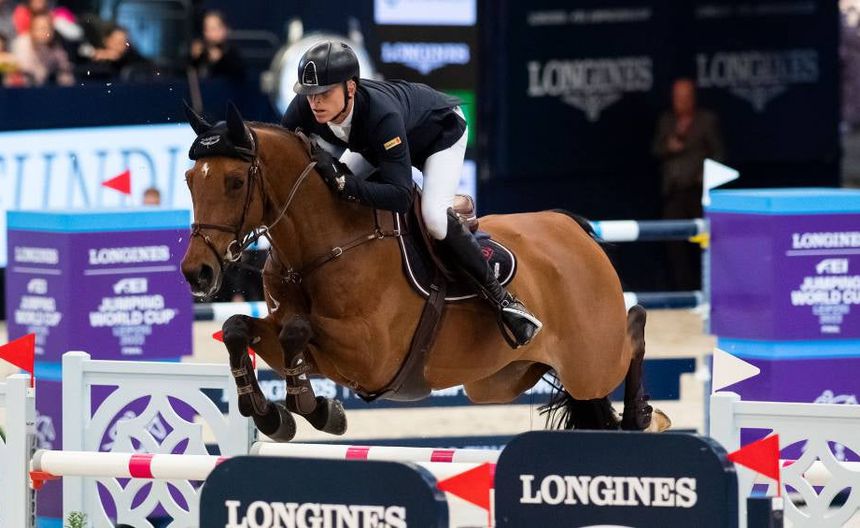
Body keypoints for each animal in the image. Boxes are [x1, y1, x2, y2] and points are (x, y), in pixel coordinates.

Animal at [180, 103, 670, 441]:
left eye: (235, 182)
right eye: (189, 180)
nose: (196, 274)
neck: (323, 246)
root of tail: (572, 228)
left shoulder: (370, 354)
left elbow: (296, 331)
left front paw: (314, 407)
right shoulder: (302, 339)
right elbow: (240, 328)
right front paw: (270, 414)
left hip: (592, 360)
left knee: (634, 329)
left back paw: (643, 414)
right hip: (500, 381)